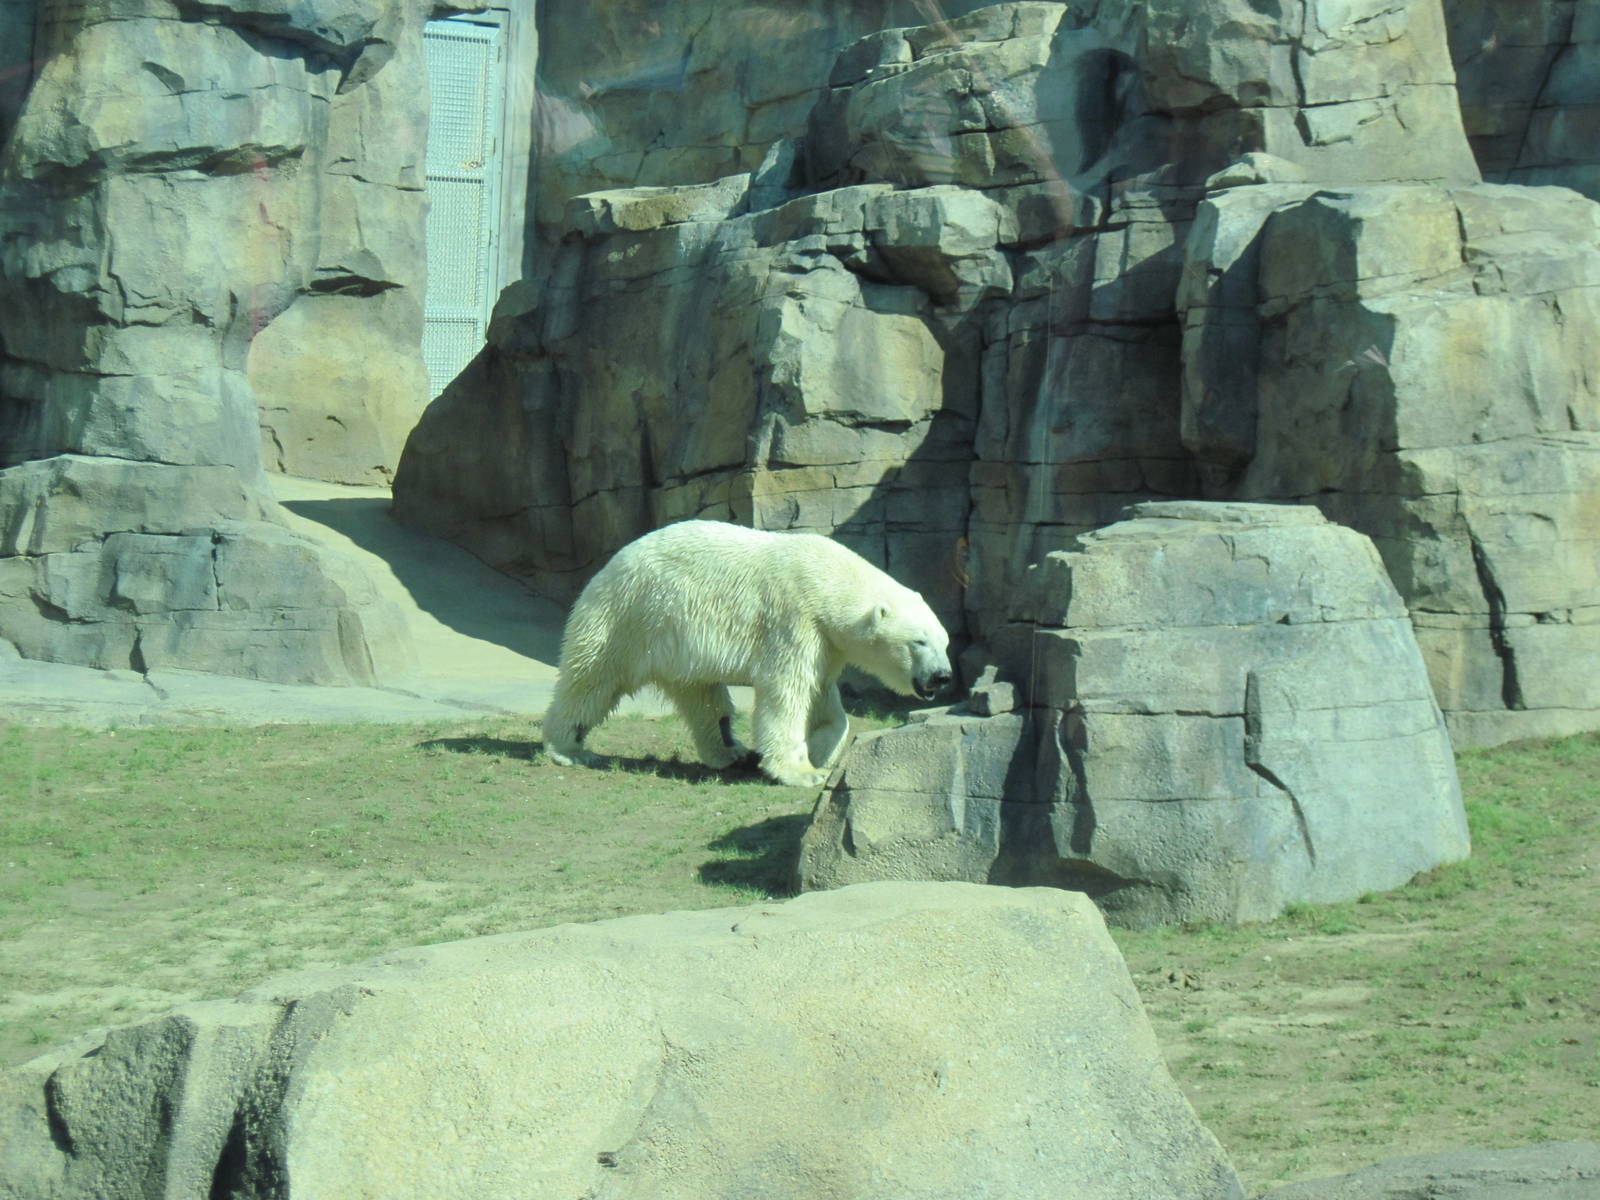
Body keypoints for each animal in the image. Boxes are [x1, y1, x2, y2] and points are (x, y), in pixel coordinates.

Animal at [541, 520, 953, 787]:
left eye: (945, 642)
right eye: (919, 642)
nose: (943, 676)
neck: (826, 580)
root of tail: (607, 567)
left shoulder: (826, 642)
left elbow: (821, 693)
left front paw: (821, 751)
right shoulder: (794, 620)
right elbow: (787, 691)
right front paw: (803, 772)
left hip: (674, 643)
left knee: (702, 697)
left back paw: (730, 751)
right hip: (629, 617)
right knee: (593, 679)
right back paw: (569, 747)